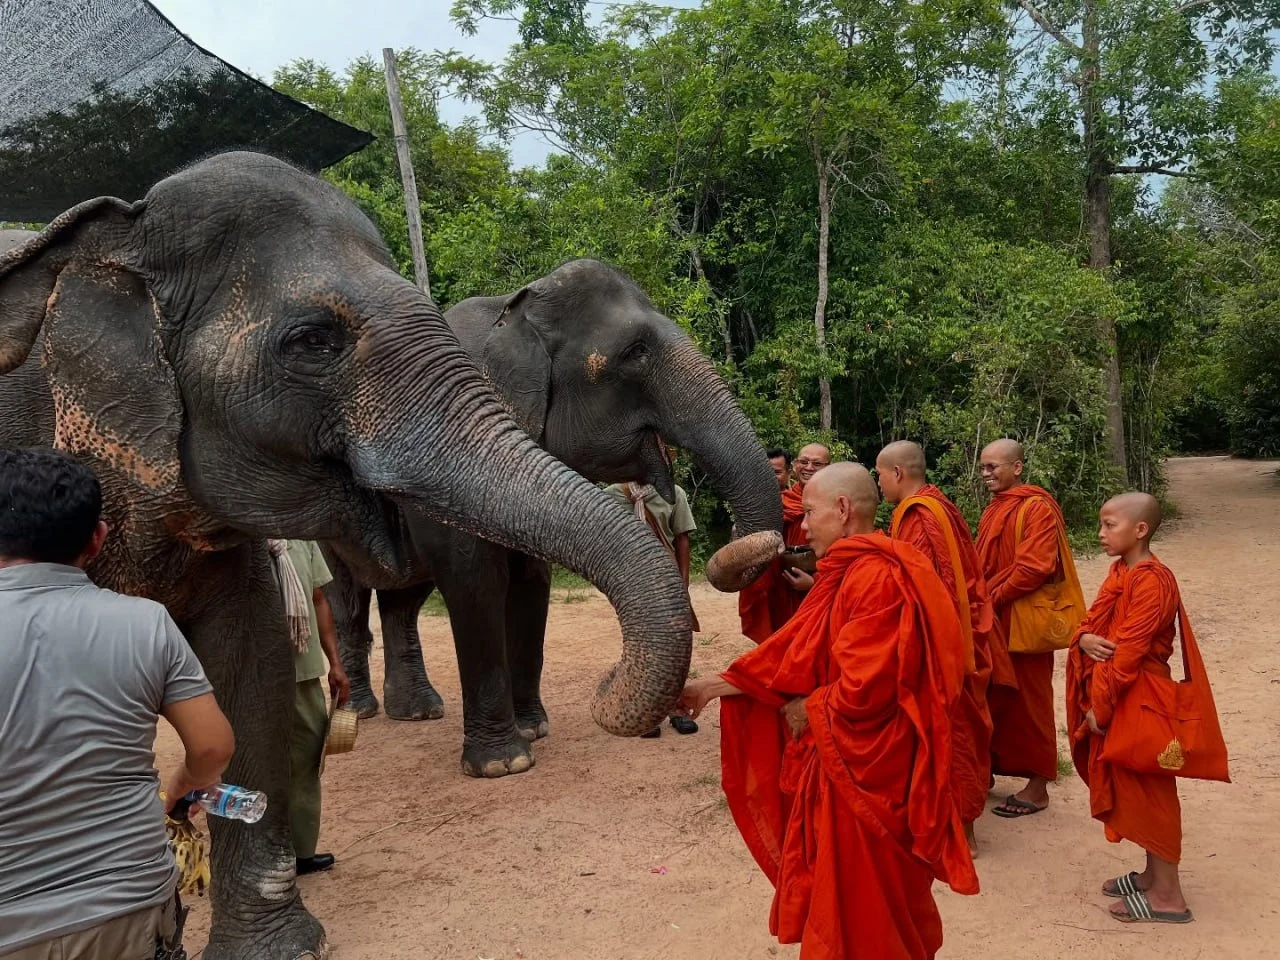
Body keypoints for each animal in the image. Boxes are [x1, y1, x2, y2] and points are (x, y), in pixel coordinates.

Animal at [324, 259, 785, 777]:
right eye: (636, 352)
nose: (607, 679)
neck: (514, 307)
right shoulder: (439, 452)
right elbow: (473, 580)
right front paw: (502, 765)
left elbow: (532, 581)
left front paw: (533, 730)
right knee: (347, 598)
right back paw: (361, 710)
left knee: (403, 598)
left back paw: (419, 711)